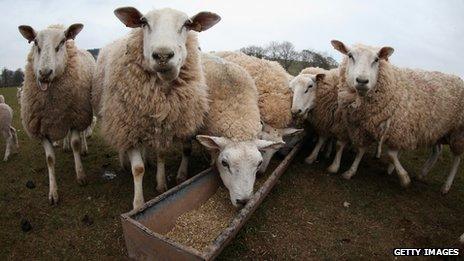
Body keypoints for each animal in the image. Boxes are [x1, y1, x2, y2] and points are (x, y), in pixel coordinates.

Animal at [18, 23, 94, 203]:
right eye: (35, 43)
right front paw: (53, 192)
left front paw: (80, 175)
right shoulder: (42, 129)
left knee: (81, 135)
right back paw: (64, 146)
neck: (54, 107)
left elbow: (75, 144)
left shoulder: (74, 118)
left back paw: (84, 149)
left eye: (62, 42)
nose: (44, 73)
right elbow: (50, 159)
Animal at [97, 6, 220, 209]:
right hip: (117, 120)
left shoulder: (163, 128)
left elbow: (161, 154)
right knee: (122, 145)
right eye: (143, 22)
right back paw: (124, 162)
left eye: (187, 24)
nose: (163, 55)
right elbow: (138, 169)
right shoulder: (128, 127)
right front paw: (139, 204)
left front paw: (161, 183)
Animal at [332, 39, 464, 191]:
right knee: (437, 151)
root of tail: (458, 78)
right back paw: (422, 174)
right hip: (437, 129)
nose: (362, 81)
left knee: (457, 158)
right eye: (350, 55)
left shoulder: (397, 129)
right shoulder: (365, 127)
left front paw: (404, 179)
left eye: (376, 59)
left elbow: (391, 154)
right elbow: (361, 150)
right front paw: (350, 171)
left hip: (458, 132)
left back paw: (446, 186)